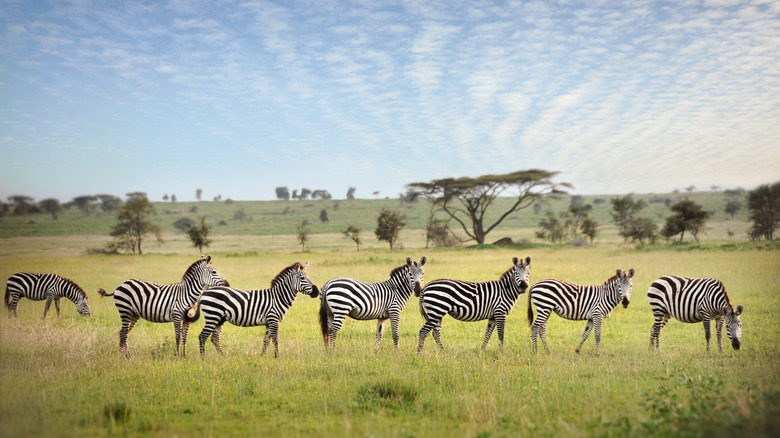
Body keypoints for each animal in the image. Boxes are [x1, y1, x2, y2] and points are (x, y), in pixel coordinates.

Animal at [97, 255, 229, 358]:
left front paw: (184, 356)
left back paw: (124, 354)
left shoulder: (187, 319)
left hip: (133, 314)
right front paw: (178, 357)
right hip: (125, 310)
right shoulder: (177, 316)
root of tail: (121, 285)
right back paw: (126, 356)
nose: (227, 284)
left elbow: (185, 337)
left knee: (123, 332)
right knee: (124, 332)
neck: (186, 294)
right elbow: (178, 337)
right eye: (214, 272)